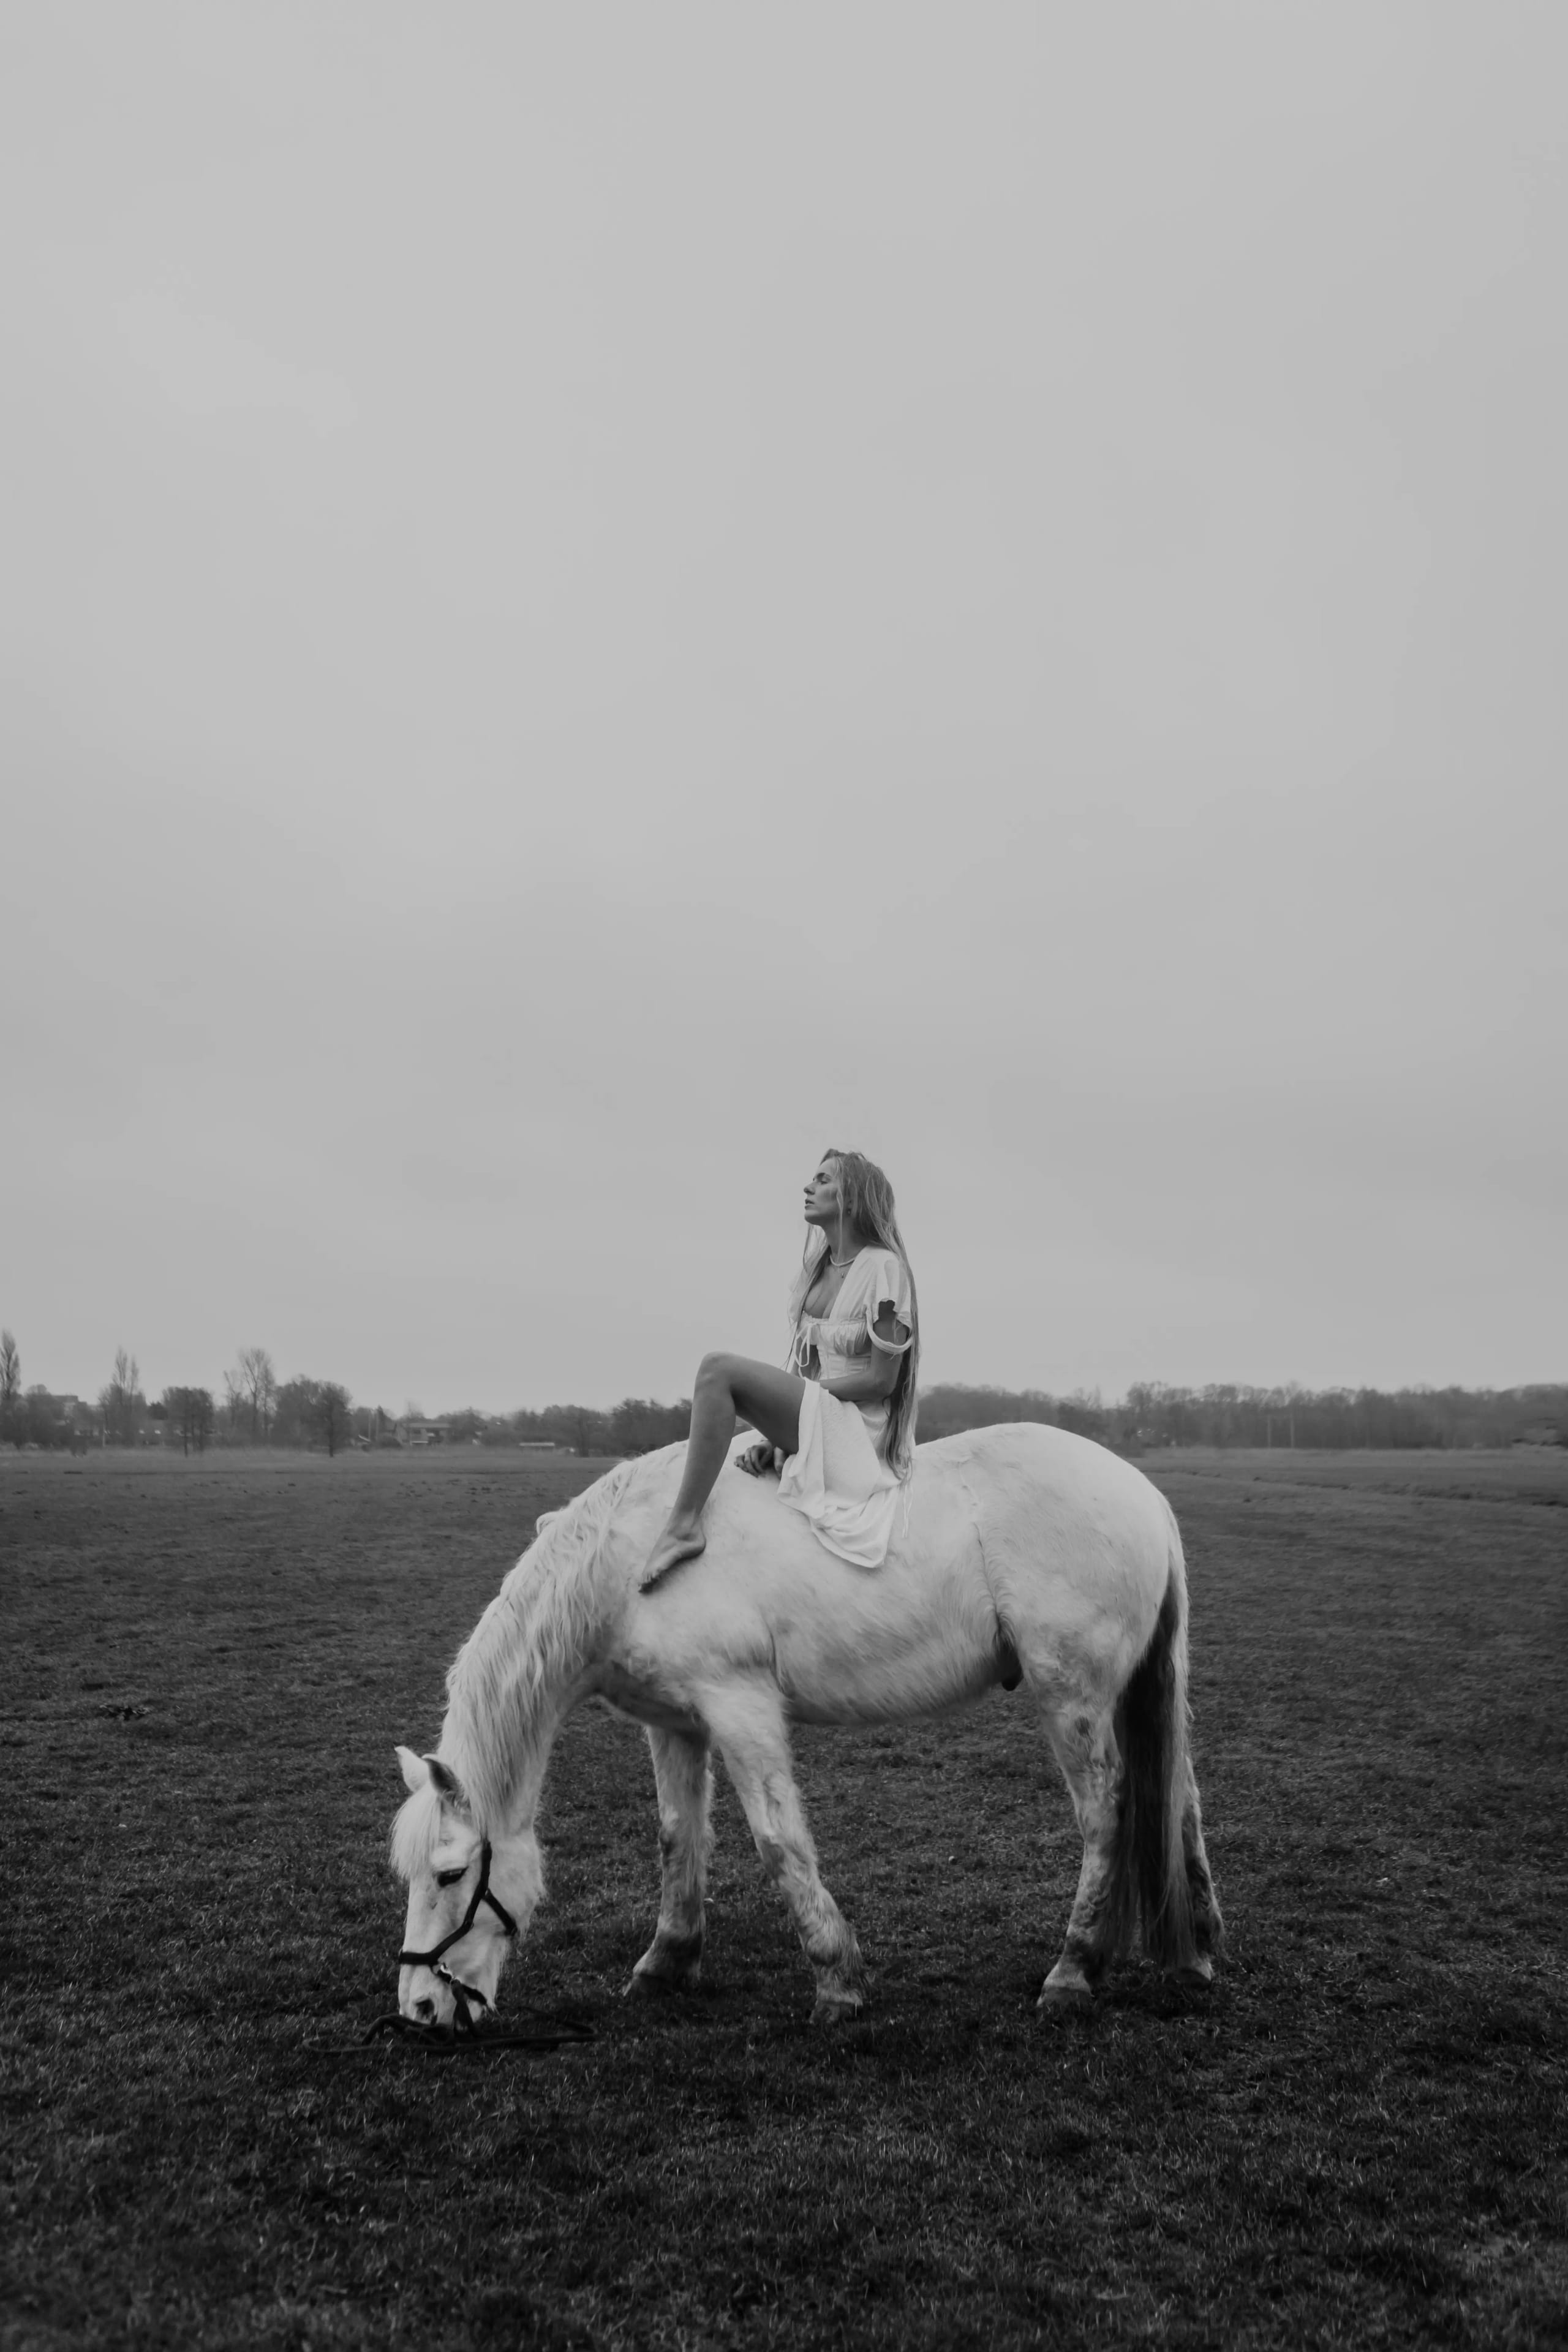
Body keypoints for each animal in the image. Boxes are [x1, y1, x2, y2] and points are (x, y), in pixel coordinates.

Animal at [389, 1422, 1224, 2028]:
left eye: (451, 1875)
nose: (420, 2009)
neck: (632, 1557)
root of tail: (1143, 1496)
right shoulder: (674, 1725)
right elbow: (676, 1837)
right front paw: (666, 1961)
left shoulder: (739, 1708)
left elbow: (778, 1842)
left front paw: (836, 1981)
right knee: (1180, 1805)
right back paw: (1195, 1955)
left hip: (1071, 1700)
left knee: (1107, 1818)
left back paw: (1074, 1970)